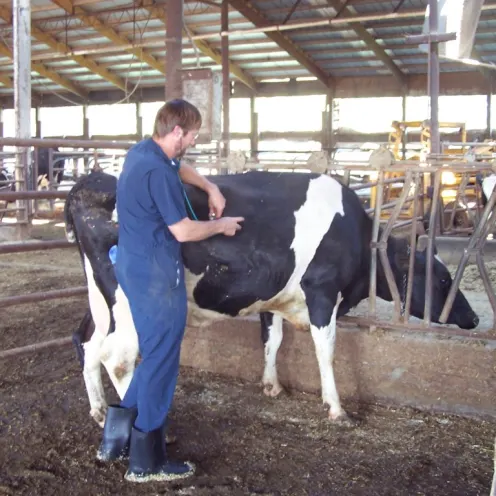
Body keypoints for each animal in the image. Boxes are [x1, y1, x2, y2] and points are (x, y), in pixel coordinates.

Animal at [64, 170, 478, 426]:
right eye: (442, 278)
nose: (474, 319)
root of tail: (92, 181)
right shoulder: (321, 290)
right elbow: (325, 350)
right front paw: (336, 407)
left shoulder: (274, 295)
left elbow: (272, 340)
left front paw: (270, 385)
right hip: (134, 304)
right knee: (118, 359)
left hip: (102, 301)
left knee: (88, 341)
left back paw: (99, 412)